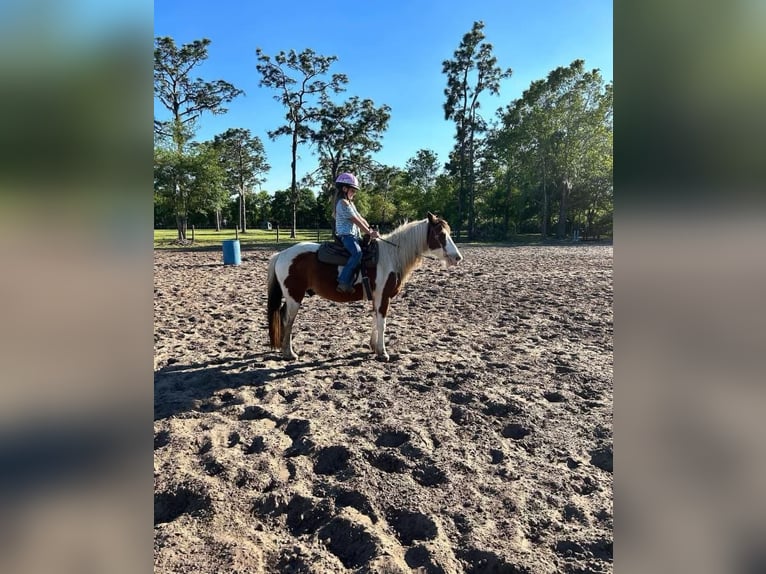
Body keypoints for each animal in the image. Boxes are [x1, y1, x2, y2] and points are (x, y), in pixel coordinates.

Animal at [268, 214, 464, 362]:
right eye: (440, 234)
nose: (457, 258)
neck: (390, 256)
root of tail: (282, 254)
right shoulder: (384, 297)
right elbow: (382, 323)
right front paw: (383, 353)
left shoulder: (378, 297)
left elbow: (375, 319)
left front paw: (374, 347)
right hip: (294, 297)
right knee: (288, 319)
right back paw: (289, 353)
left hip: (291, 296)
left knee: (283, 316)